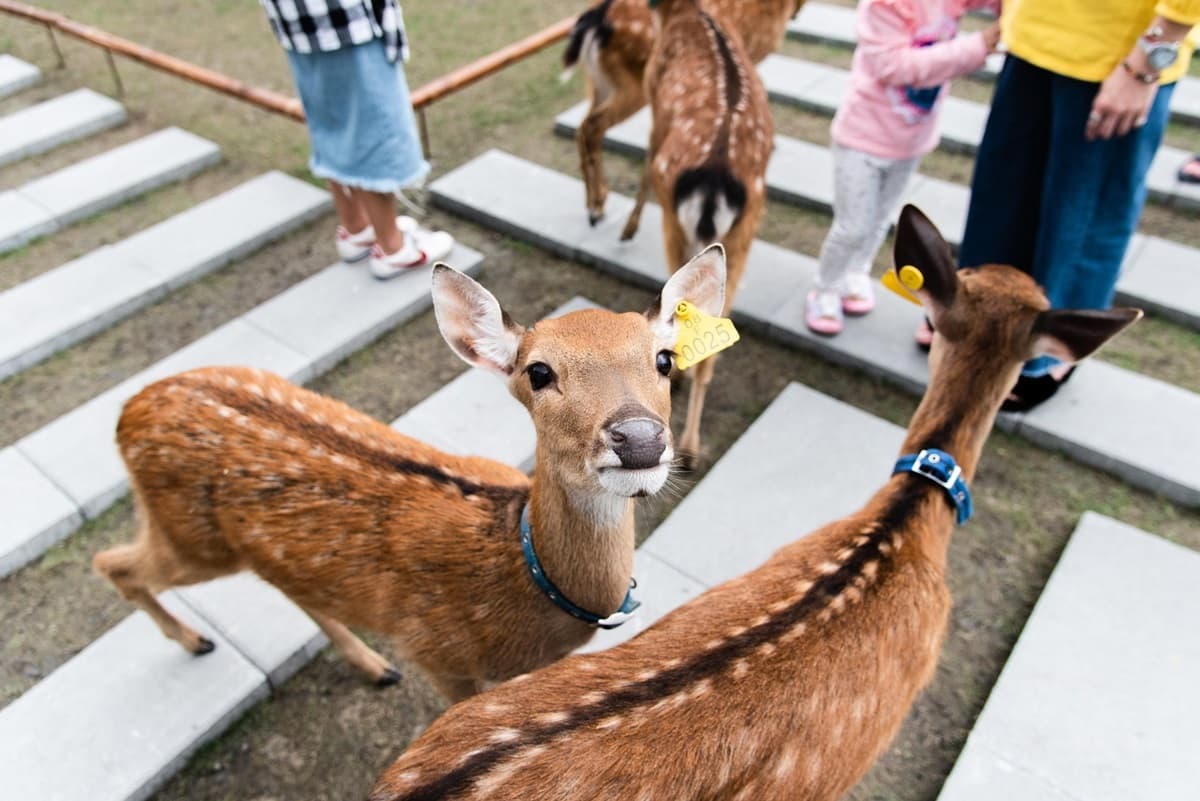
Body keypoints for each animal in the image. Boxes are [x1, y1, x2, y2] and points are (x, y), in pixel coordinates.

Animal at [92, 246, 728, 702]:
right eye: (539, 372)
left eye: (664, 360)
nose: (639, 440)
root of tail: (128, 410)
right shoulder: (438, 655)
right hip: (189, 537)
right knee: (113, 562)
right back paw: (196, 641)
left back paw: (374, 667)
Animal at [563, 0, 801, 226]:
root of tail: (595, 18)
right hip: (634, 83)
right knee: (593, 126)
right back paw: (597, 208)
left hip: (599, 81)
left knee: (582, 127)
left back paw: (595, 206)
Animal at [613, 0, 773, 467]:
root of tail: (716, 181)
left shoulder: (653, 100)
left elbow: (645, 162)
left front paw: (627, 227)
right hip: (741, 236)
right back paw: (692, 445)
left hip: (675, 221)